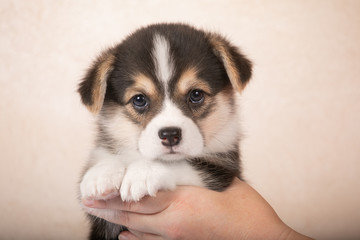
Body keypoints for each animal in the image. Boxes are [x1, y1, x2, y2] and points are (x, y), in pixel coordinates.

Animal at [79, 23, 253, 240]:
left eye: (196, 94)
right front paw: (100, 174)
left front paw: (143, 173)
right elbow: (107, 158)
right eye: (139, 99)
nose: (170, 135)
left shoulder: (221, 172)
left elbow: (182, 166)